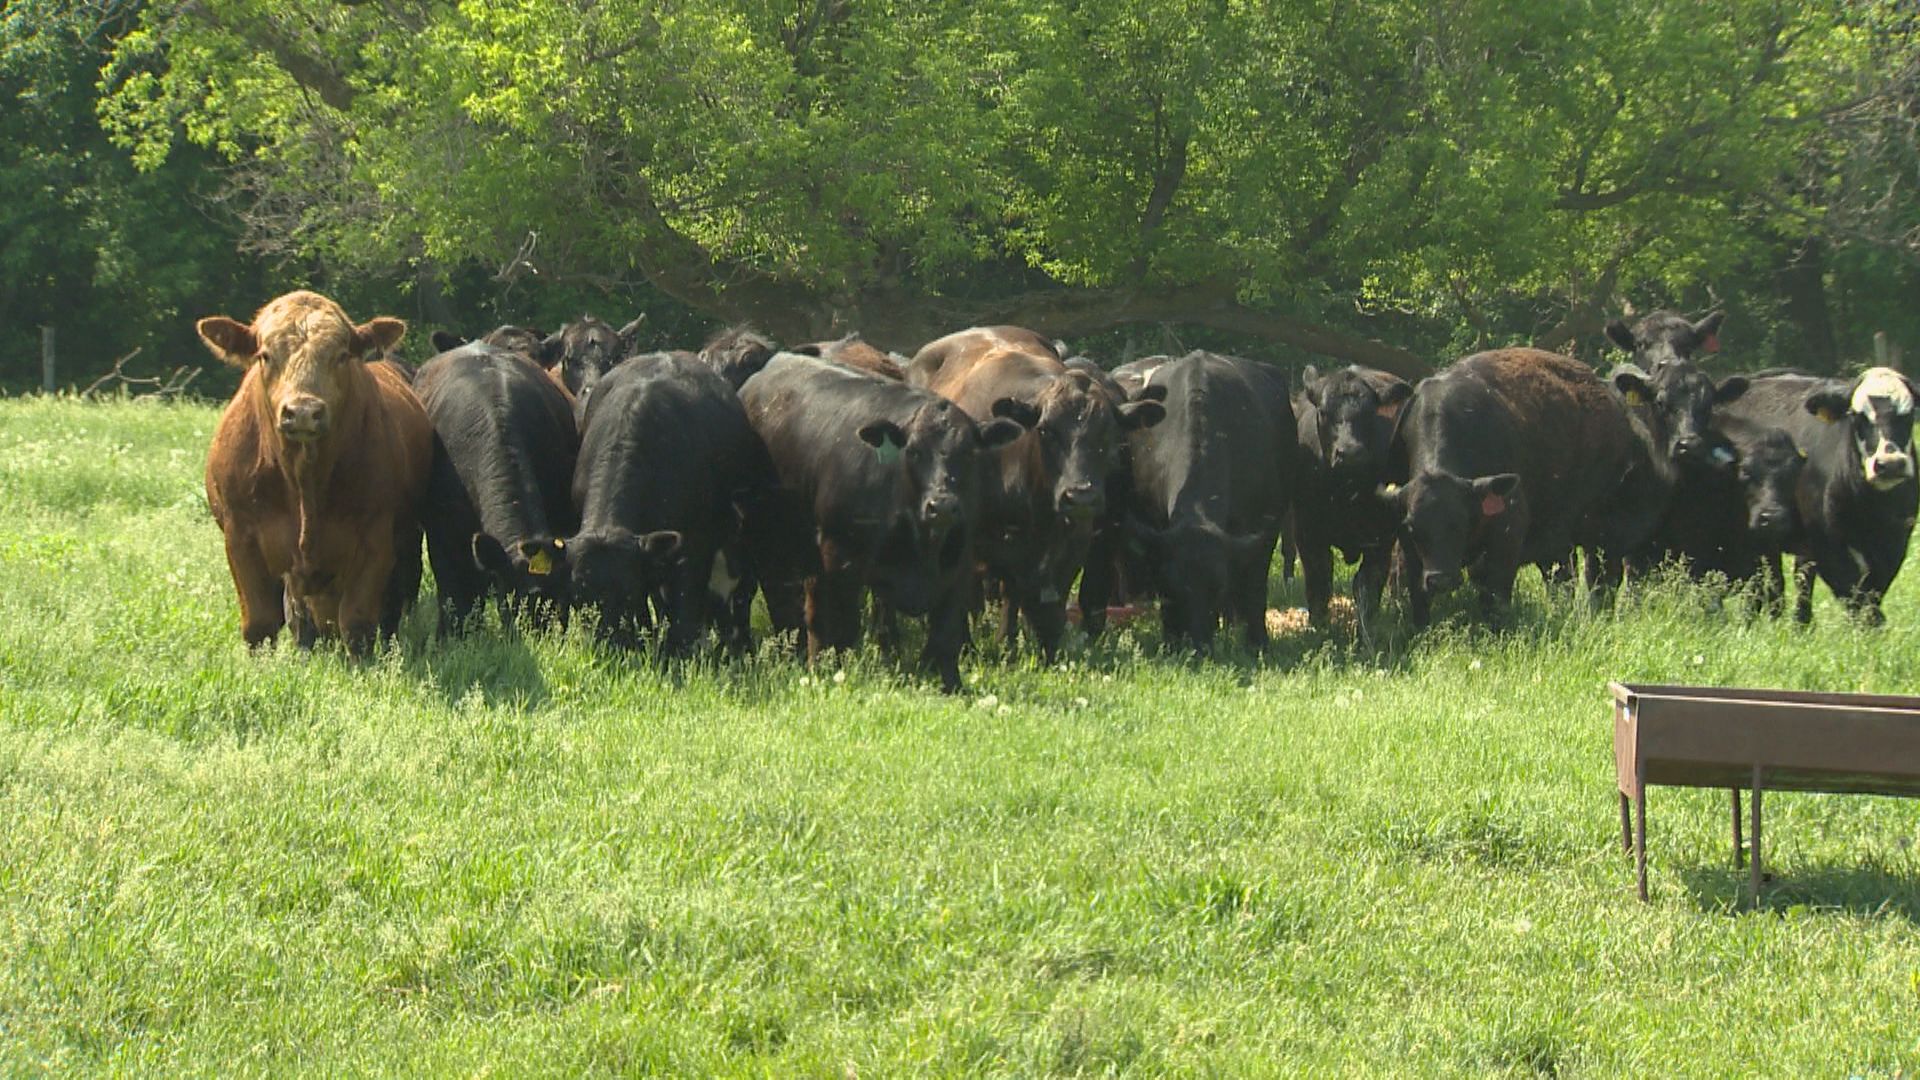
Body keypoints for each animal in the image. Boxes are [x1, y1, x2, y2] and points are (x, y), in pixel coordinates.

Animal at [198, 290, 432, 653]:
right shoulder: (240, 539)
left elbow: (358, 624)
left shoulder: (374, 540)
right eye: (265, 355)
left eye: (341, 355)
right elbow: (259, 625)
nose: (304, 412)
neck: (303, 480)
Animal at [741, 353, 1029, 687]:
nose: (943, 506)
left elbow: (946, 635)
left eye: (969, 453)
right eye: (913, 452)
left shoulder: (959, 562)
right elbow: (838, 626)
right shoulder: (838, 558)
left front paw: (952, 685)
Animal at [1290, 365, 1413, 641]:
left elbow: (1367, 587)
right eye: (1323, 412)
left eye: (1369, 413)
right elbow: (1319, 580)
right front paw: (1319, 627)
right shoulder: (1307, 533)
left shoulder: (1380, 539)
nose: (1351, 453)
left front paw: (1365, 633)